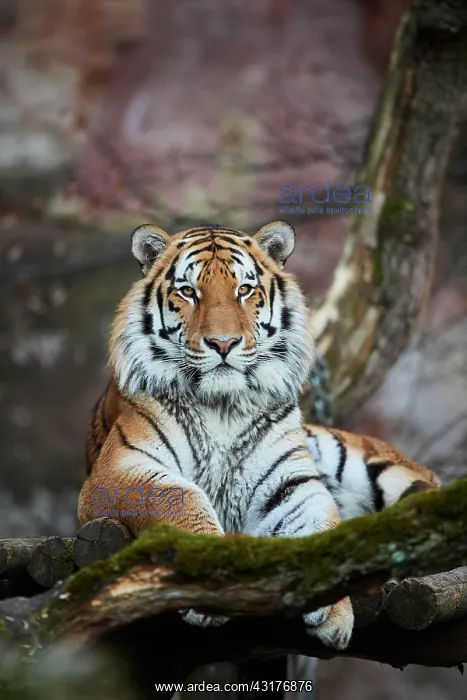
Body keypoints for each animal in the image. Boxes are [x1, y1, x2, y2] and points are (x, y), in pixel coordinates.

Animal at [78, 220, 440, 651]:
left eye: (245, 290)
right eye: (188, 291)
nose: (223, 343)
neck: (222, 405)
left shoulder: (292, 481)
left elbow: (323, 526)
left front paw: (335, 612)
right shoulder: (117, 470)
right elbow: (182, 497)